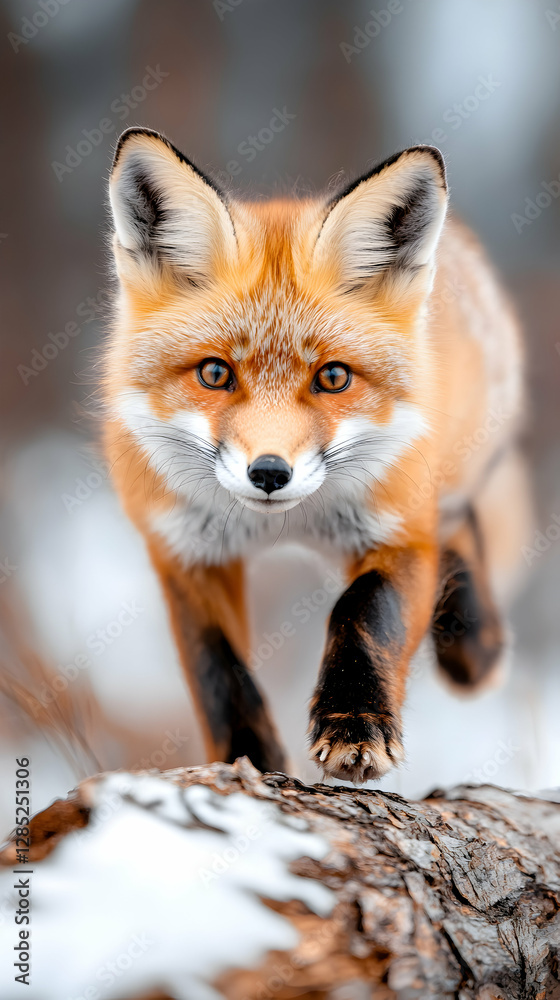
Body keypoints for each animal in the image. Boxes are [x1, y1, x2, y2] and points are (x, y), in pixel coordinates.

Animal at [103, 127, 531, 784]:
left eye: (332, 378)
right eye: (214, 373)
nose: (269, 472)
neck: (286, 524)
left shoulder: (402, 529)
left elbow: (363, 612)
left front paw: (356, 725)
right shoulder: (181, 551)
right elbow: (216, 669)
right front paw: (246, 760)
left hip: (453, 470)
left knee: (462, 524)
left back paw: (472, 645)